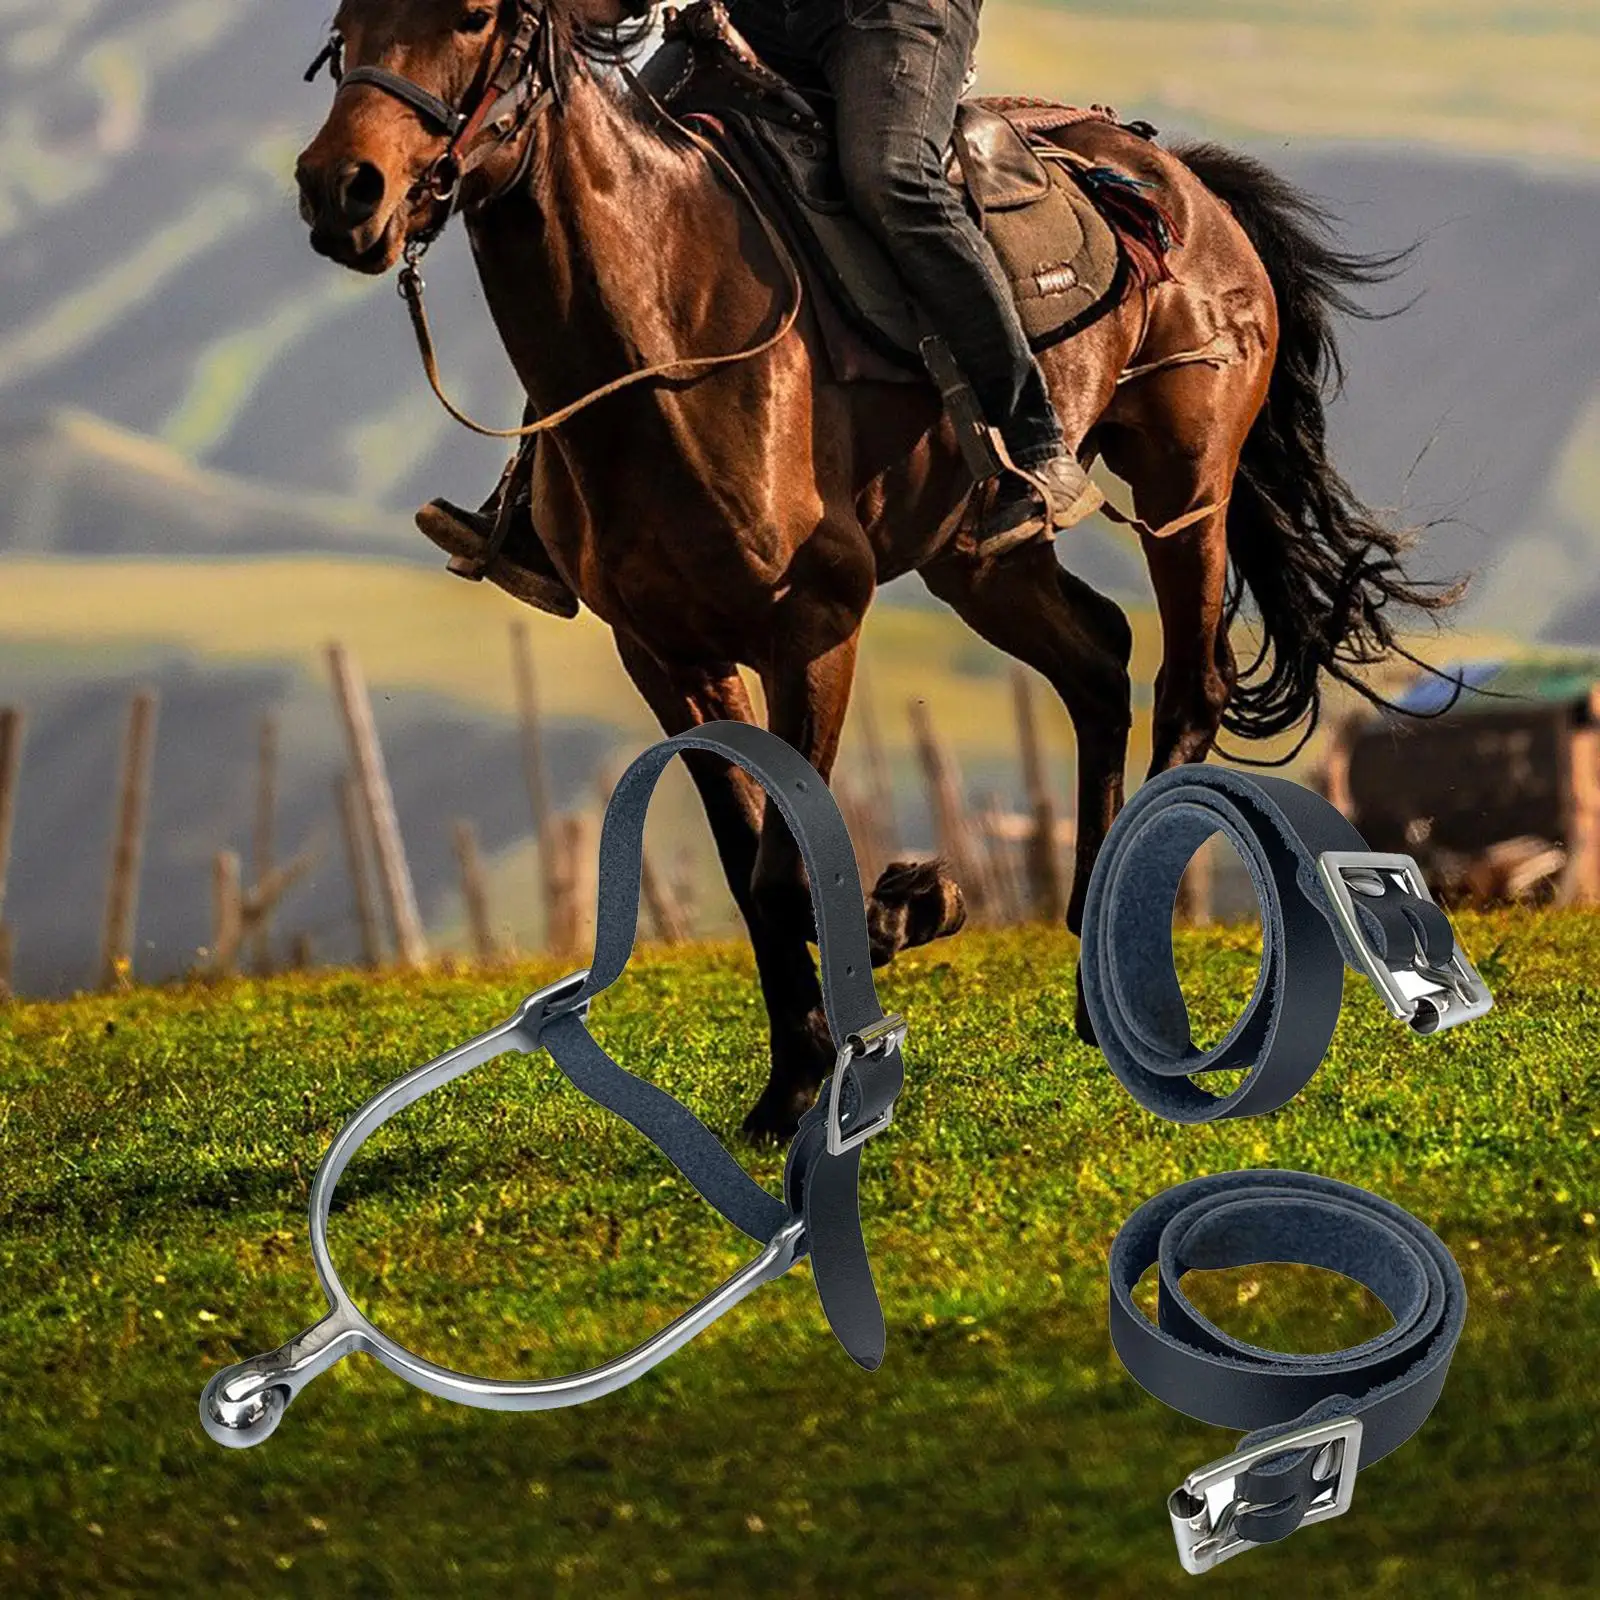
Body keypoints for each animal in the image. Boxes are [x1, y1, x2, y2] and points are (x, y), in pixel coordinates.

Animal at [291, 0, 1452, 1139]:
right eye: (347, 23)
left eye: (473, 17)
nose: (342, 188)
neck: (669, 333)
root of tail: (1183, 184)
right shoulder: (666, 654)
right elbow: (747, 861)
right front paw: (794, 1078)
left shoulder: (813, 629)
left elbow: (784, 858)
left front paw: (904, 914)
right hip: (976, 559)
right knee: (1095, 662)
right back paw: (1088, 965)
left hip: (1185, 486)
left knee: (1186, 688)